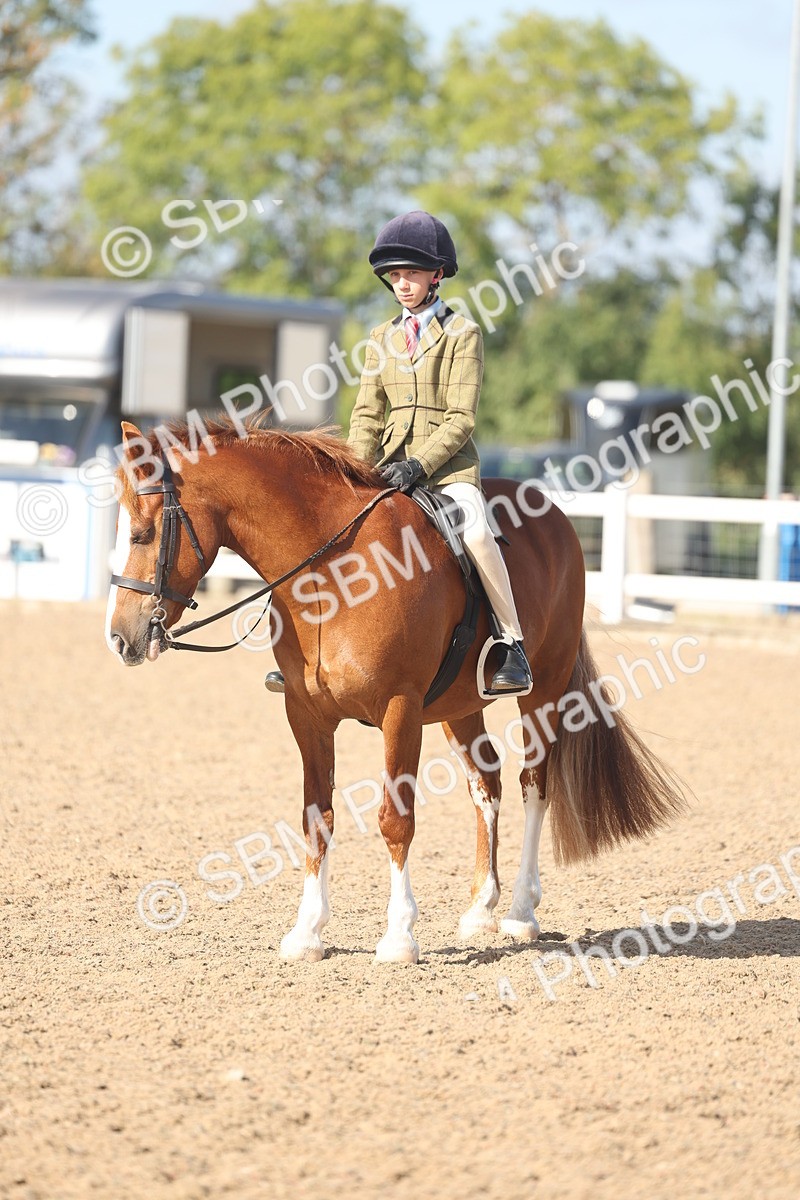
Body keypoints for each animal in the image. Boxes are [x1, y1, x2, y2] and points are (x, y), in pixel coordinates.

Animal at [106, 417, 684, 963]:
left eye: (143, 533)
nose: (120, 638)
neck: (331, 574)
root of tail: (554, 513)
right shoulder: (306, 714)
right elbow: (316, 818)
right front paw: (306, 933)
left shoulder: (400, 710)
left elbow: (395, 820)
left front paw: (400, 937)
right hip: (459, 707)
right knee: (487, 783)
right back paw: (481, 909)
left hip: (543, 692)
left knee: (534, 785)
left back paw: (520, 913)